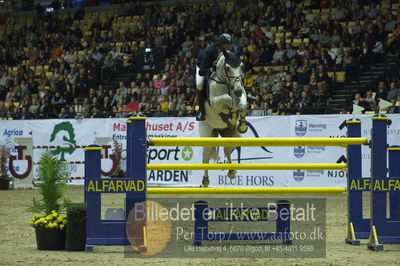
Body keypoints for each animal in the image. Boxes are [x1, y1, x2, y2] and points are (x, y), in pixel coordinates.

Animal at [199, 51, 247, 187]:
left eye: (242, 67)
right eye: (228, 68)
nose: (238, 91)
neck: (226, 83)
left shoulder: (242, 96)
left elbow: (242, 105)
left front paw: (242, 124)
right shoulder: (215, 104)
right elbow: (227, 99)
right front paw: (231, 116)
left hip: (232, 135)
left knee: (227, 149)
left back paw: (231, 172)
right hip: (207, 134)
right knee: (206, 157)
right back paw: (205, 181)